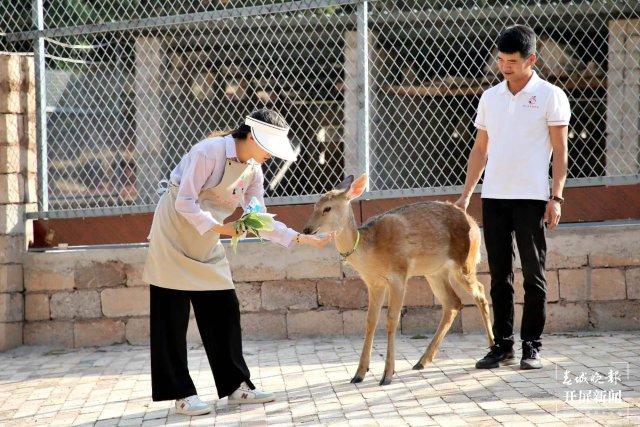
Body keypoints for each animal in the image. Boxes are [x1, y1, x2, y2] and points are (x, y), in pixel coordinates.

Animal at [302, 174, 492, 388]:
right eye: (314, 205)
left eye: (328, 208)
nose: (307, 229)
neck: (371, 253)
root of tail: (474, 223)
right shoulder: (373, 283)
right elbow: (370, 321)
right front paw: (359, 373)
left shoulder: (399, 275)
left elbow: (392, 319)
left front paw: (387, 375)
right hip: (435, 272)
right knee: (453, 302)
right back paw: (422, 361)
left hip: (465, 263)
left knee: (480, 292)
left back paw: (492, 348)